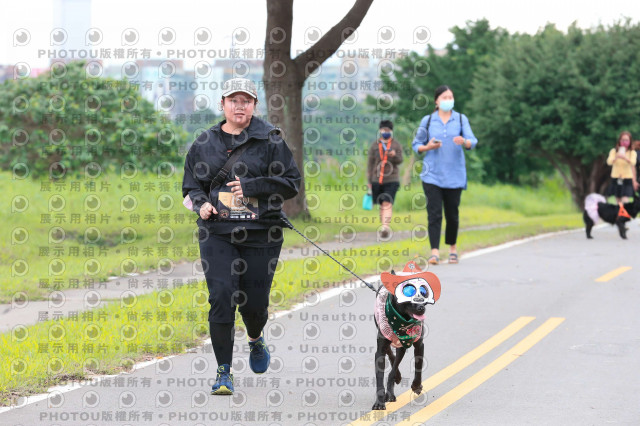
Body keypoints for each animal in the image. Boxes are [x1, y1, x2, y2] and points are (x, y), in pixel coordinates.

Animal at [370, 262, 440, 412]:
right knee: (390, 354)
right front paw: (379, 402)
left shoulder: (418, 344)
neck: (402, 319)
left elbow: (418, 366)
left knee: (395, 364)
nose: (421, 308)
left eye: (424, 293)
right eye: (408, 293)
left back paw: (392, 388)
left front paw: (417, 386)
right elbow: (380, 376)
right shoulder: (380, 350)